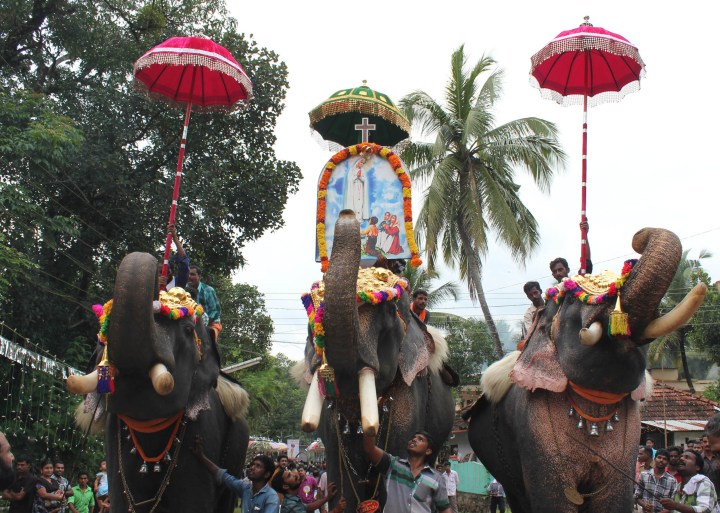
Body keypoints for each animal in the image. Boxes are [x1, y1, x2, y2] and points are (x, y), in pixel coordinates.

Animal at [464, 228, 704, 512]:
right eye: (570, 299)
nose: (638, 238)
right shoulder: (534, 429)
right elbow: (556, 499)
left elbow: (613, 500)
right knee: (517, 494)